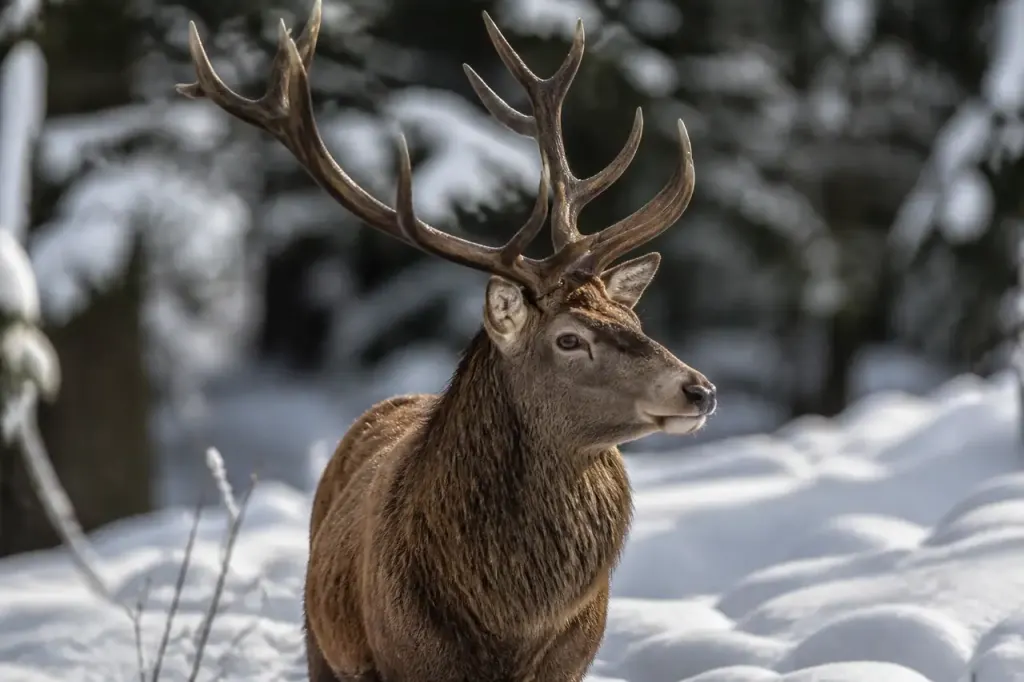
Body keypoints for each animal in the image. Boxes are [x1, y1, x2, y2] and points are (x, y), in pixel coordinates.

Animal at [177, 2, 715, 681]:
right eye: (568, 340)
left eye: (636, 323)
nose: (699, 389)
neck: (511, 624)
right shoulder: (410, 657)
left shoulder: (572, 660)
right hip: (320, 642)